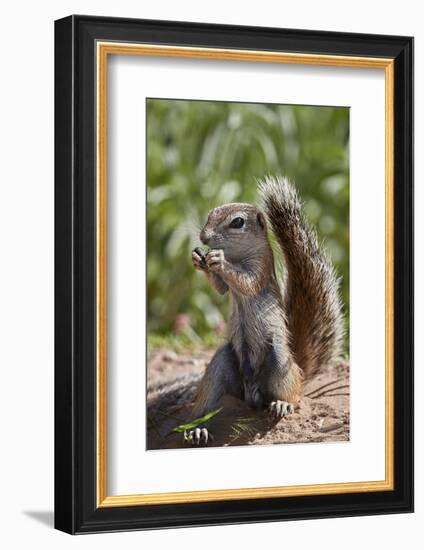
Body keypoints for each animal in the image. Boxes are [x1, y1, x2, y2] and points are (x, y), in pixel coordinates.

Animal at [190, 178, 344, 448]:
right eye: (210, 214)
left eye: (237, 222)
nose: (204, 236)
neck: (236, 255)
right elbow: (221, 289)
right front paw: (199, 259)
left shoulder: (260, 268)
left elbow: (247, 282)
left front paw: (218, 260)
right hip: (223, 362)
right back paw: (199, 428)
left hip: (280, 360)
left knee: (293, 396)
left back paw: (283, 403)